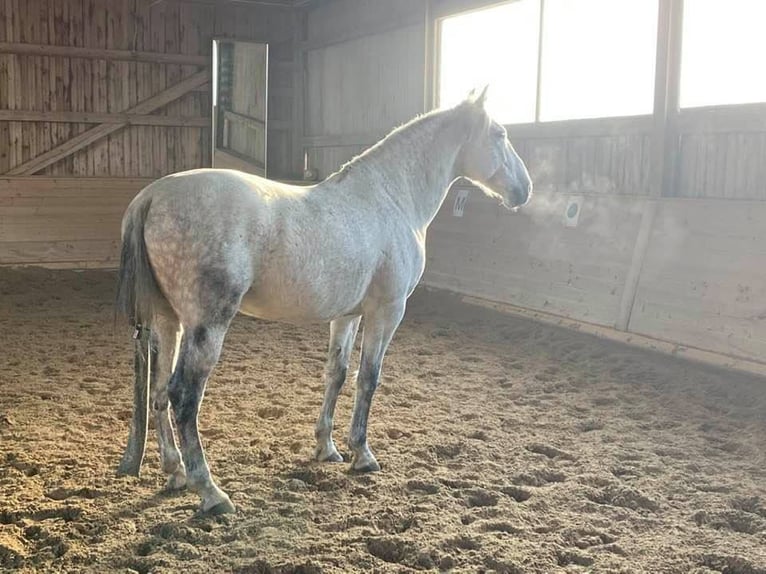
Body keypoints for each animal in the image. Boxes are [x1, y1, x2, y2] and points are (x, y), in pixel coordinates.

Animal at [114, 87, 533, 515]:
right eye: (500, 134)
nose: (524, 189)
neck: (390, 197)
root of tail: (151, 197)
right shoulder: (387, 311)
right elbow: (369, 378)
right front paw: (362, 454)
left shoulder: (347, 315)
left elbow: (338, 373)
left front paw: (327, 448)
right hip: (207, 324)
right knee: (183, 395)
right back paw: (211, 492)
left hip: (168, 321)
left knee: (159, 391)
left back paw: (176, 473)